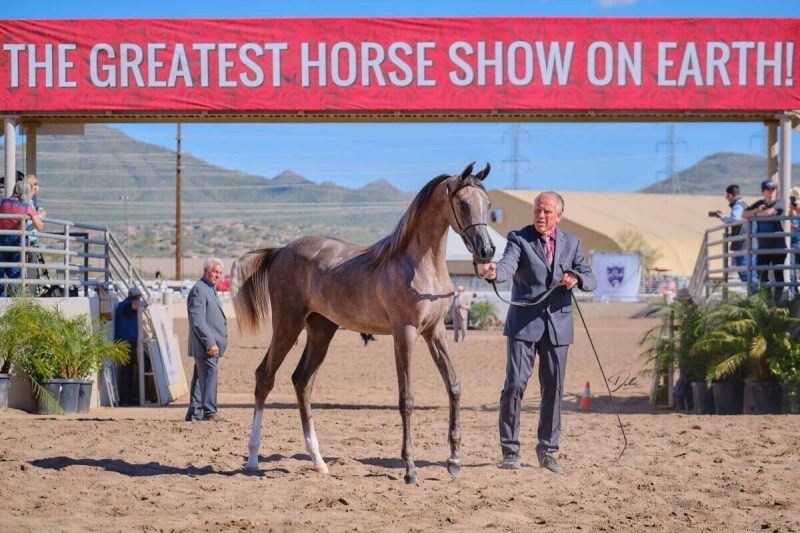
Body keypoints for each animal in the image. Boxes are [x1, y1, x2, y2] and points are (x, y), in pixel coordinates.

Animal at [231, 162, 495, 484]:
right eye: (463, 203)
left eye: (488, 204)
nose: (486, 252)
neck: (419, 266)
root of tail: (281, 251)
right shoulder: (404, 334)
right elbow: (406, 398)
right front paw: (410, 469)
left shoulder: (435, 332)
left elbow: (454, 386)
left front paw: (454, 460)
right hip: (287, 326)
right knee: (264, 378)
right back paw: (253, 458)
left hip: (321, 331)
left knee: (302, 382)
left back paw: (319, 461)